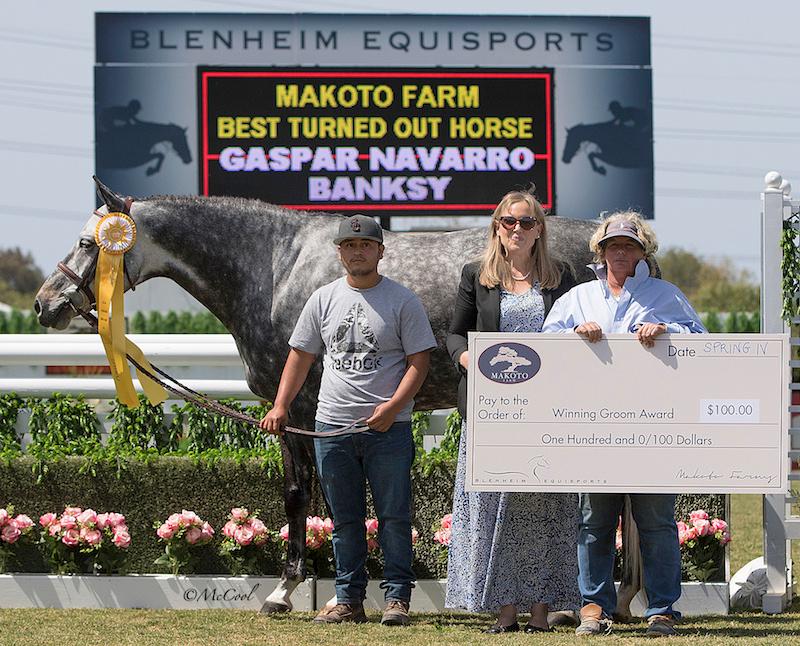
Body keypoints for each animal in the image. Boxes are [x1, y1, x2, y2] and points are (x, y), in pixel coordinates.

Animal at [34, 180, 644, 620]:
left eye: (89, 243)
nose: (46, 304)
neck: (273, 266)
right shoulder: (297, 413)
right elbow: (322, 500)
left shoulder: (301, 409)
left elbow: (308, 499)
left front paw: (291, 592)